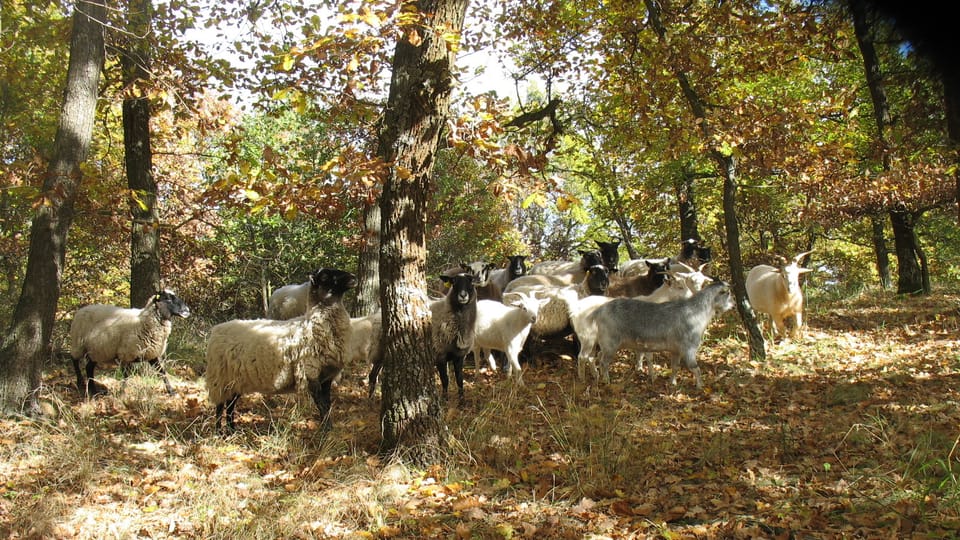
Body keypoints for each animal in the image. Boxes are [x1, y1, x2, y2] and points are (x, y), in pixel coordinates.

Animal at [205, 268, 357, 432]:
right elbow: (321, 405)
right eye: (324, 277)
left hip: (234, 380)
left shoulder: (326, 377)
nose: (353, 277)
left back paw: (232, 430)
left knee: (230, 404)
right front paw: (325, 431)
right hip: (220, 378)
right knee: (220, 406)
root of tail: (216, 329)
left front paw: (328, 428)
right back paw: (219, 432)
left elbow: (327, 405)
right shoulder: (311, 373)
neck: (314, 325)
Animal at [586, 281, 734, 388]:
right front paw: (700, 386)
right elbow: (695, 368)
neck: (696, 312)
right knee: (604, 362)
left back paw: (597, 376)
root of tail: (599, 311)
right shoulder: (689, 349)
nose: (733, 305)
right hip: (610, 343)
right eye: (727, 293)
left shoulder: (676, 350)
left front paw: (672, 383)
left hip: (606, 344)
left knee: (597, 357)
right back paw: (606, 380)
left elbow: (675, 367)